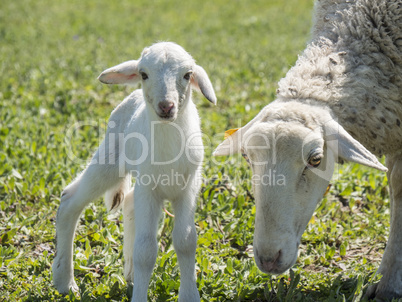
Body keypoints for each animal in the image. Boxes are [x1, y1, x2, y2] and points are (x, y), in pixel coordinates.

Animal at [53, 42, 218, 302]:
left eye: (187, 75)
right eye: (143, 74)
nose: (166, 106)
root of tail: (132, 96)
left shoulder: (188, 188)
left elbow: (186, 241)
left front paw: (189, 295)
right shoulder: (149, 189)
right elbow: (146, 250)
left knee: (129, 201)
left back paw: (129, 275)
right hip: (110, 159)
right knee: (70, 200)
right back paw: (65, 282)